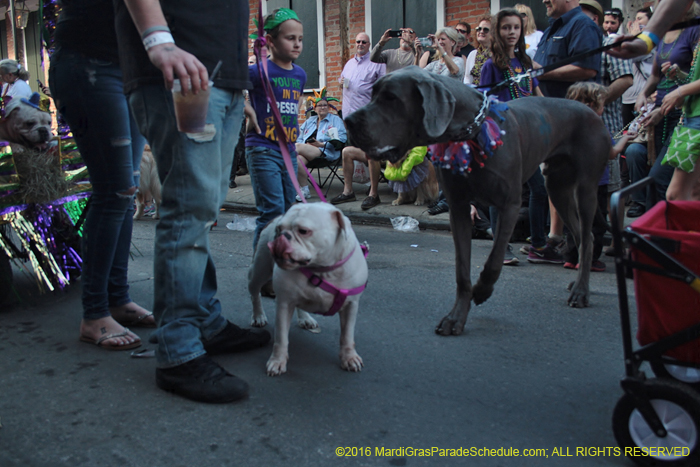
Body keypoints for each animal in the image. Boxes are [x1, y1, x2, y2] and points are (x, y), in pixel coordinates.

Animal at [249, 204, 370, 376]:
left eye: (303, 231)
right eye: (279, 229)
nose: (282, 236)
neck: (321, 269)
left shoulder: (350, 305)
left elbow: (347, 335)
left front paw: (349, 358)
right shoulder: (284, 303)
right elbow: (281, 337)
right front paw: (277, 361)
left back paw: (305, 318)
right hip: (259, 271)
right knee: (254, 292)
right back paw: (258, 316)